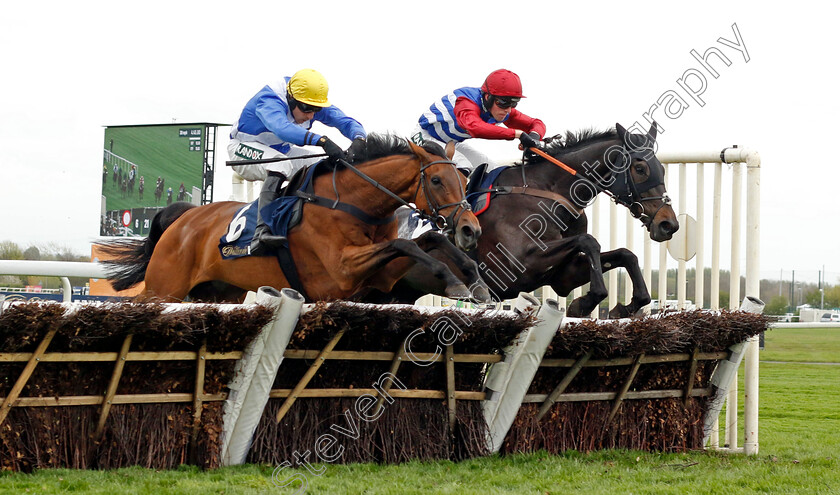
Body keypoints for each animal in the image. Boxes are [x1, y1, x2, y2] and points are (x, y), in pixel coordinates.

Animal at [97, 137, 488, 306]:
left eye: (465, 179)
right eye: (435, 180)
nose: (470, 228)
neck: (354, 202)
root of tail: (184, 216)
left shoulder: (381, 276)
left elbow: (429, 242)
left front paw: (474, 280)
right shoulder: (341, 271)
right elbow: (404, 242)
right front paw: (458, 283)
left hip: (220, 292)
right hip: (165, 286)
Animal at [358, 122, 680, 320]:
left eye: (662, 168)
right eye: (640, 168)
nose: (669, 224)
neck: (549, 192)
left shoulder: (562, 275)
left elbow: (624, 254)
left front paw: (627, 305)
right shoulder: (519, 266)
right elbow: (588, 241)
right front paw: (587, 302)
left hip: (396, 293)